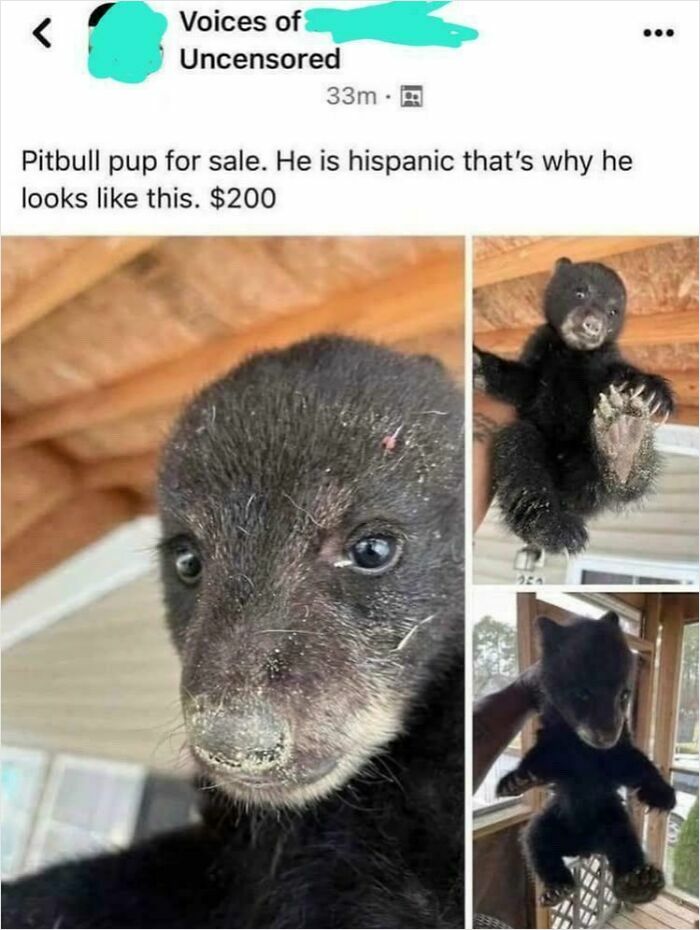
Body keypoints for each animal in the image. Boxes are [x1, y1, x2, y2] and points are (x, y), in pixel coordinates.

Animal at [474, 258, 675, 553]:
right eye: (580, 291)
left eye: (613, 311)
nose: (593, 325)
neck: (571, 351)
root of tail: (571, 499)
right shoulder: (539, 352)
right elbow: (521, 383)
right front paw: (478, 363)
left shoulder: (602, 359)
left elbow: (616, 373)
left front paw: (652, 391)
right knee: (520, 452)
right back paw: (555, 527)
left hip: (589, 461)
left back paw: (624, 445)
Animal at [496, 612, 675, 908]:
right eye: (582, 693)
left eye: (624, 694)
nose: (607, 734)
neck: (585, 751)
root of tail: (586, 847)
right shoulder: (556, 742)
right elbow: (541, 756)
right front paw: (516, 780)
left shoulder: (616, 753)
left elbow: (635, 763)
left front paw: (662, 795)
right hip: (555, 818)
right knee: (535, 840)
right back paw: (556, 889)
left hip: (613, 817)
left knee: (625, 843)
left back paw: (640, 883)